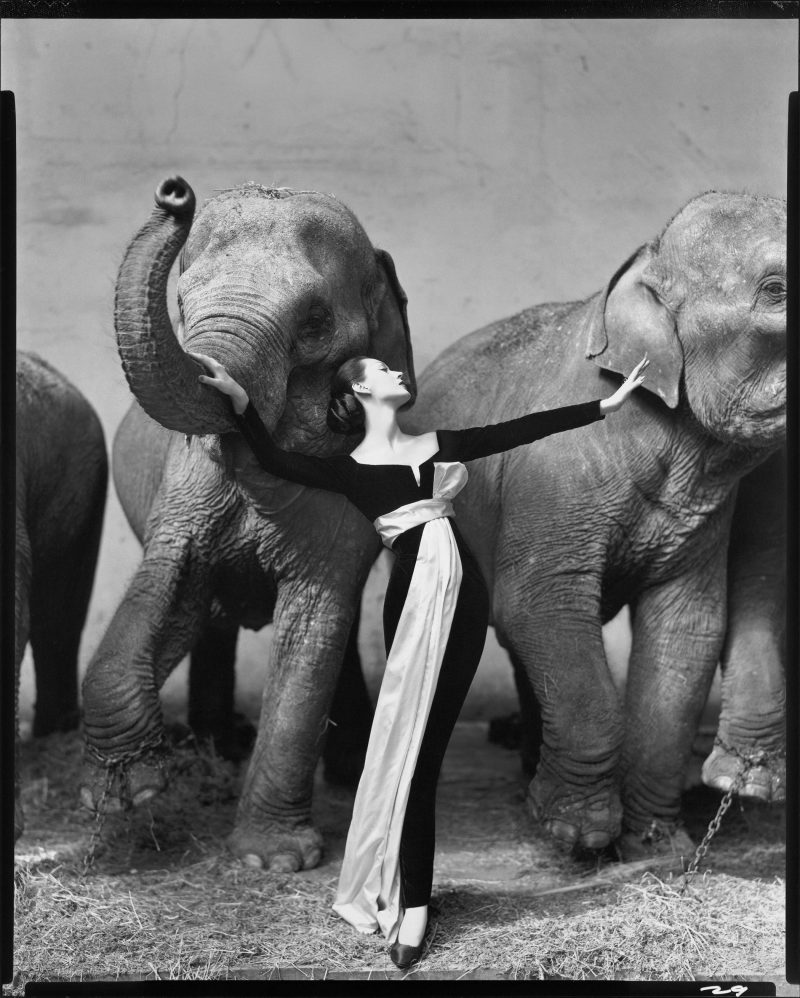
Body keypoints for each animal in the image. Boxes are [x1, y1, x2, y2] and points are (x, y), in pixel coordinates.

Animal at [79, 177, 412, 871]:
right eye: (180, 302)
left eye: (314, 322)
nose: (174, 193)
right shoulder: (184, 486)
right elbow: (168, 582)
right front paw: (127, 794)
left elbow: (315, 621)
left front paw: (270, 862)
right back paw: (218, 749)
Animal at [398, 191, 786, 855]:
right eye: (778, 288)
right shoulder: (553, 474)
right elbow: (539, 602)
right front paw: (574, 833)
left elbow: (687, 630)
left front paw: (658, 847)